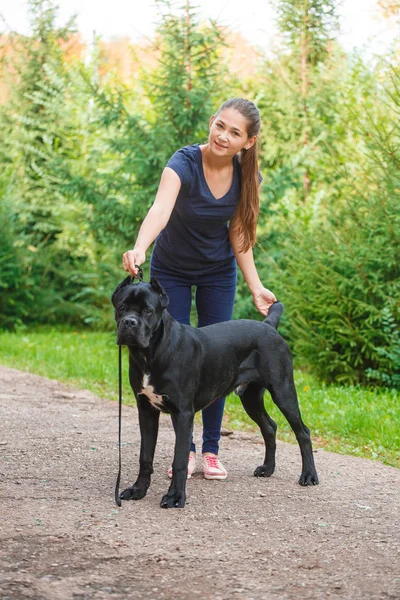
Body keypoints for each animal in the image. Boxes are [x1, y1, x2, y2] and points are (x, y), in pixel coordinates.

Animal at [112, 276, 318, 506]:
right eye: (121, 307)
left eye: (147, 310)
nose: (129, 322)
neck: (150, 353)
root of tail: (269, 326)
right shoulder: (146, 410)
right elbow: (145, 455)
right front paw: (138, 490)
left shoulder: (183, 413)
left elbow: (179, 459)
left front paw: (175, 497)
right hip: (250, 397)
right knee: (269, 427)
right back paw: (267, 468)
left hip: (283, 391)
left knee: (303, 432)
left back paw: (309, 475)